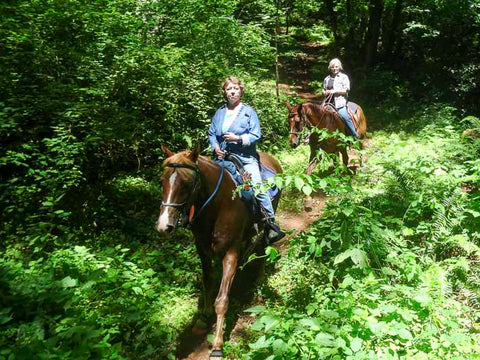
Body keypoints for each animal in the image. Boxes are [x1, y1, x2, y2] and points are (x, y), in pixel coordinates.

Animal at [156, 144, 282, 360]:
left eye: (187, 183)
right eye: (162, 181)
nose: (164, 226)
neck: (219, 205)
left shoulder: (229, 253)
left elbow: (222, 300)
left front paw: (217, 345)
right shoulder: (203, 250)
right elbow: (207, 283)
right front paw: (203, 317)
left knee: (265, 246)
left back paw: (258, 279)